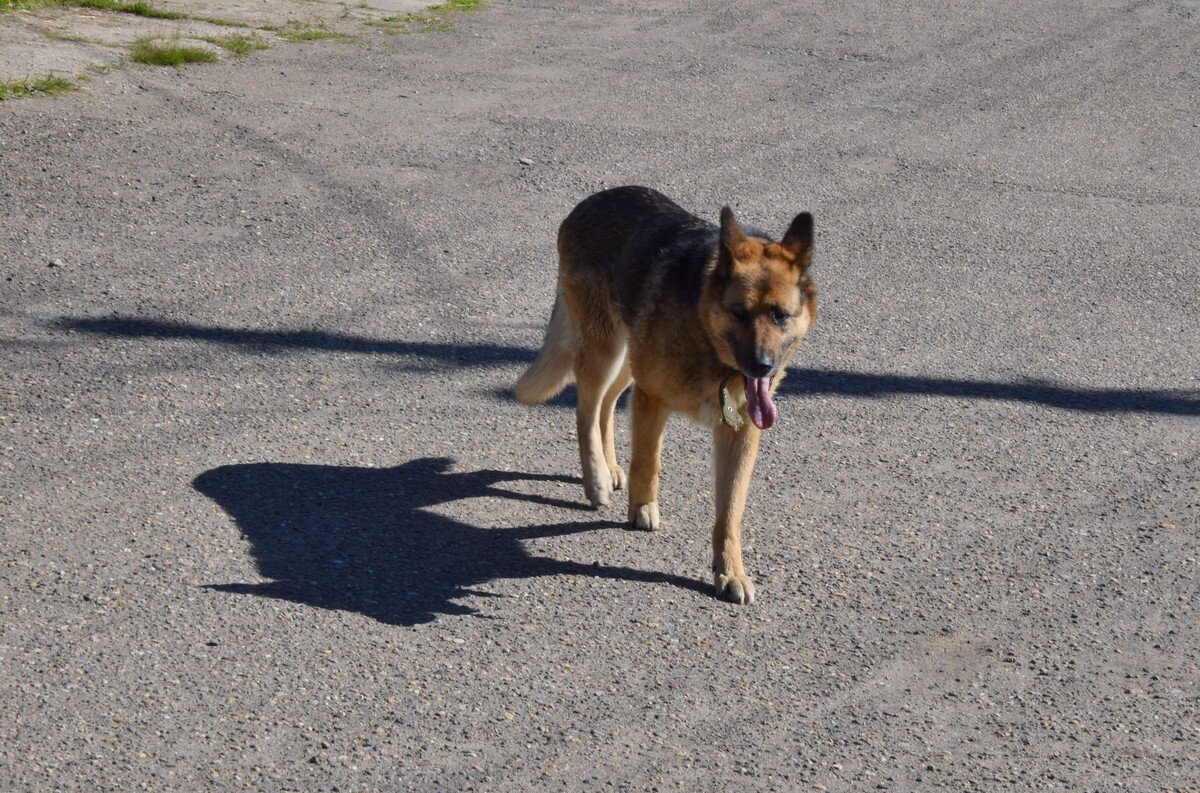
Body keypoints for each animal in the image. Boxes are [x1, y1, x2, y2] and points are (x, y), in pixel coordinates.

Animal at [516, 185, 816, 602]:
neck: (707, 336)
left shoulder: (740, 433)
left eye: (780, 316)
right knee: (586, 409)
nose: (762, 366)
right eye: (739, 313)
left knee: (606, 405)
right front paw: (642, 508)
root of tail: (587, 203)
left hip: (627, 359)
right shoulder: (651, 400)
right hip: (606, 351)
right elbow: (648, 462)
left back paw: (610, 469)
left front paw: (730, 572)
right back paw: (596, 478)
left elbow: (730, 511)